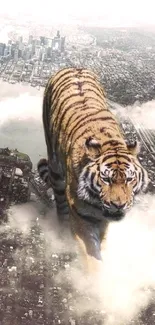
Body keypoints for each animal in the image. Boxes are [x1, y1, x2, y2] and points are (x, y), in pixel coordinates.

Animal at [37, 67, 149, 272]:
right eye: (106, 179)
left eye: (129, 179)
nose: (119, 205)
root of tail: (74, 67)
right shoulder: (83, 218)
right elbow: (92, 254)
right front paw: (96, 278)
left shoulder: (103, 220)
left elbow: (101, 244)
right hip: (55, 170)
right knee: (61, 208)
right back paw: (62, 236)